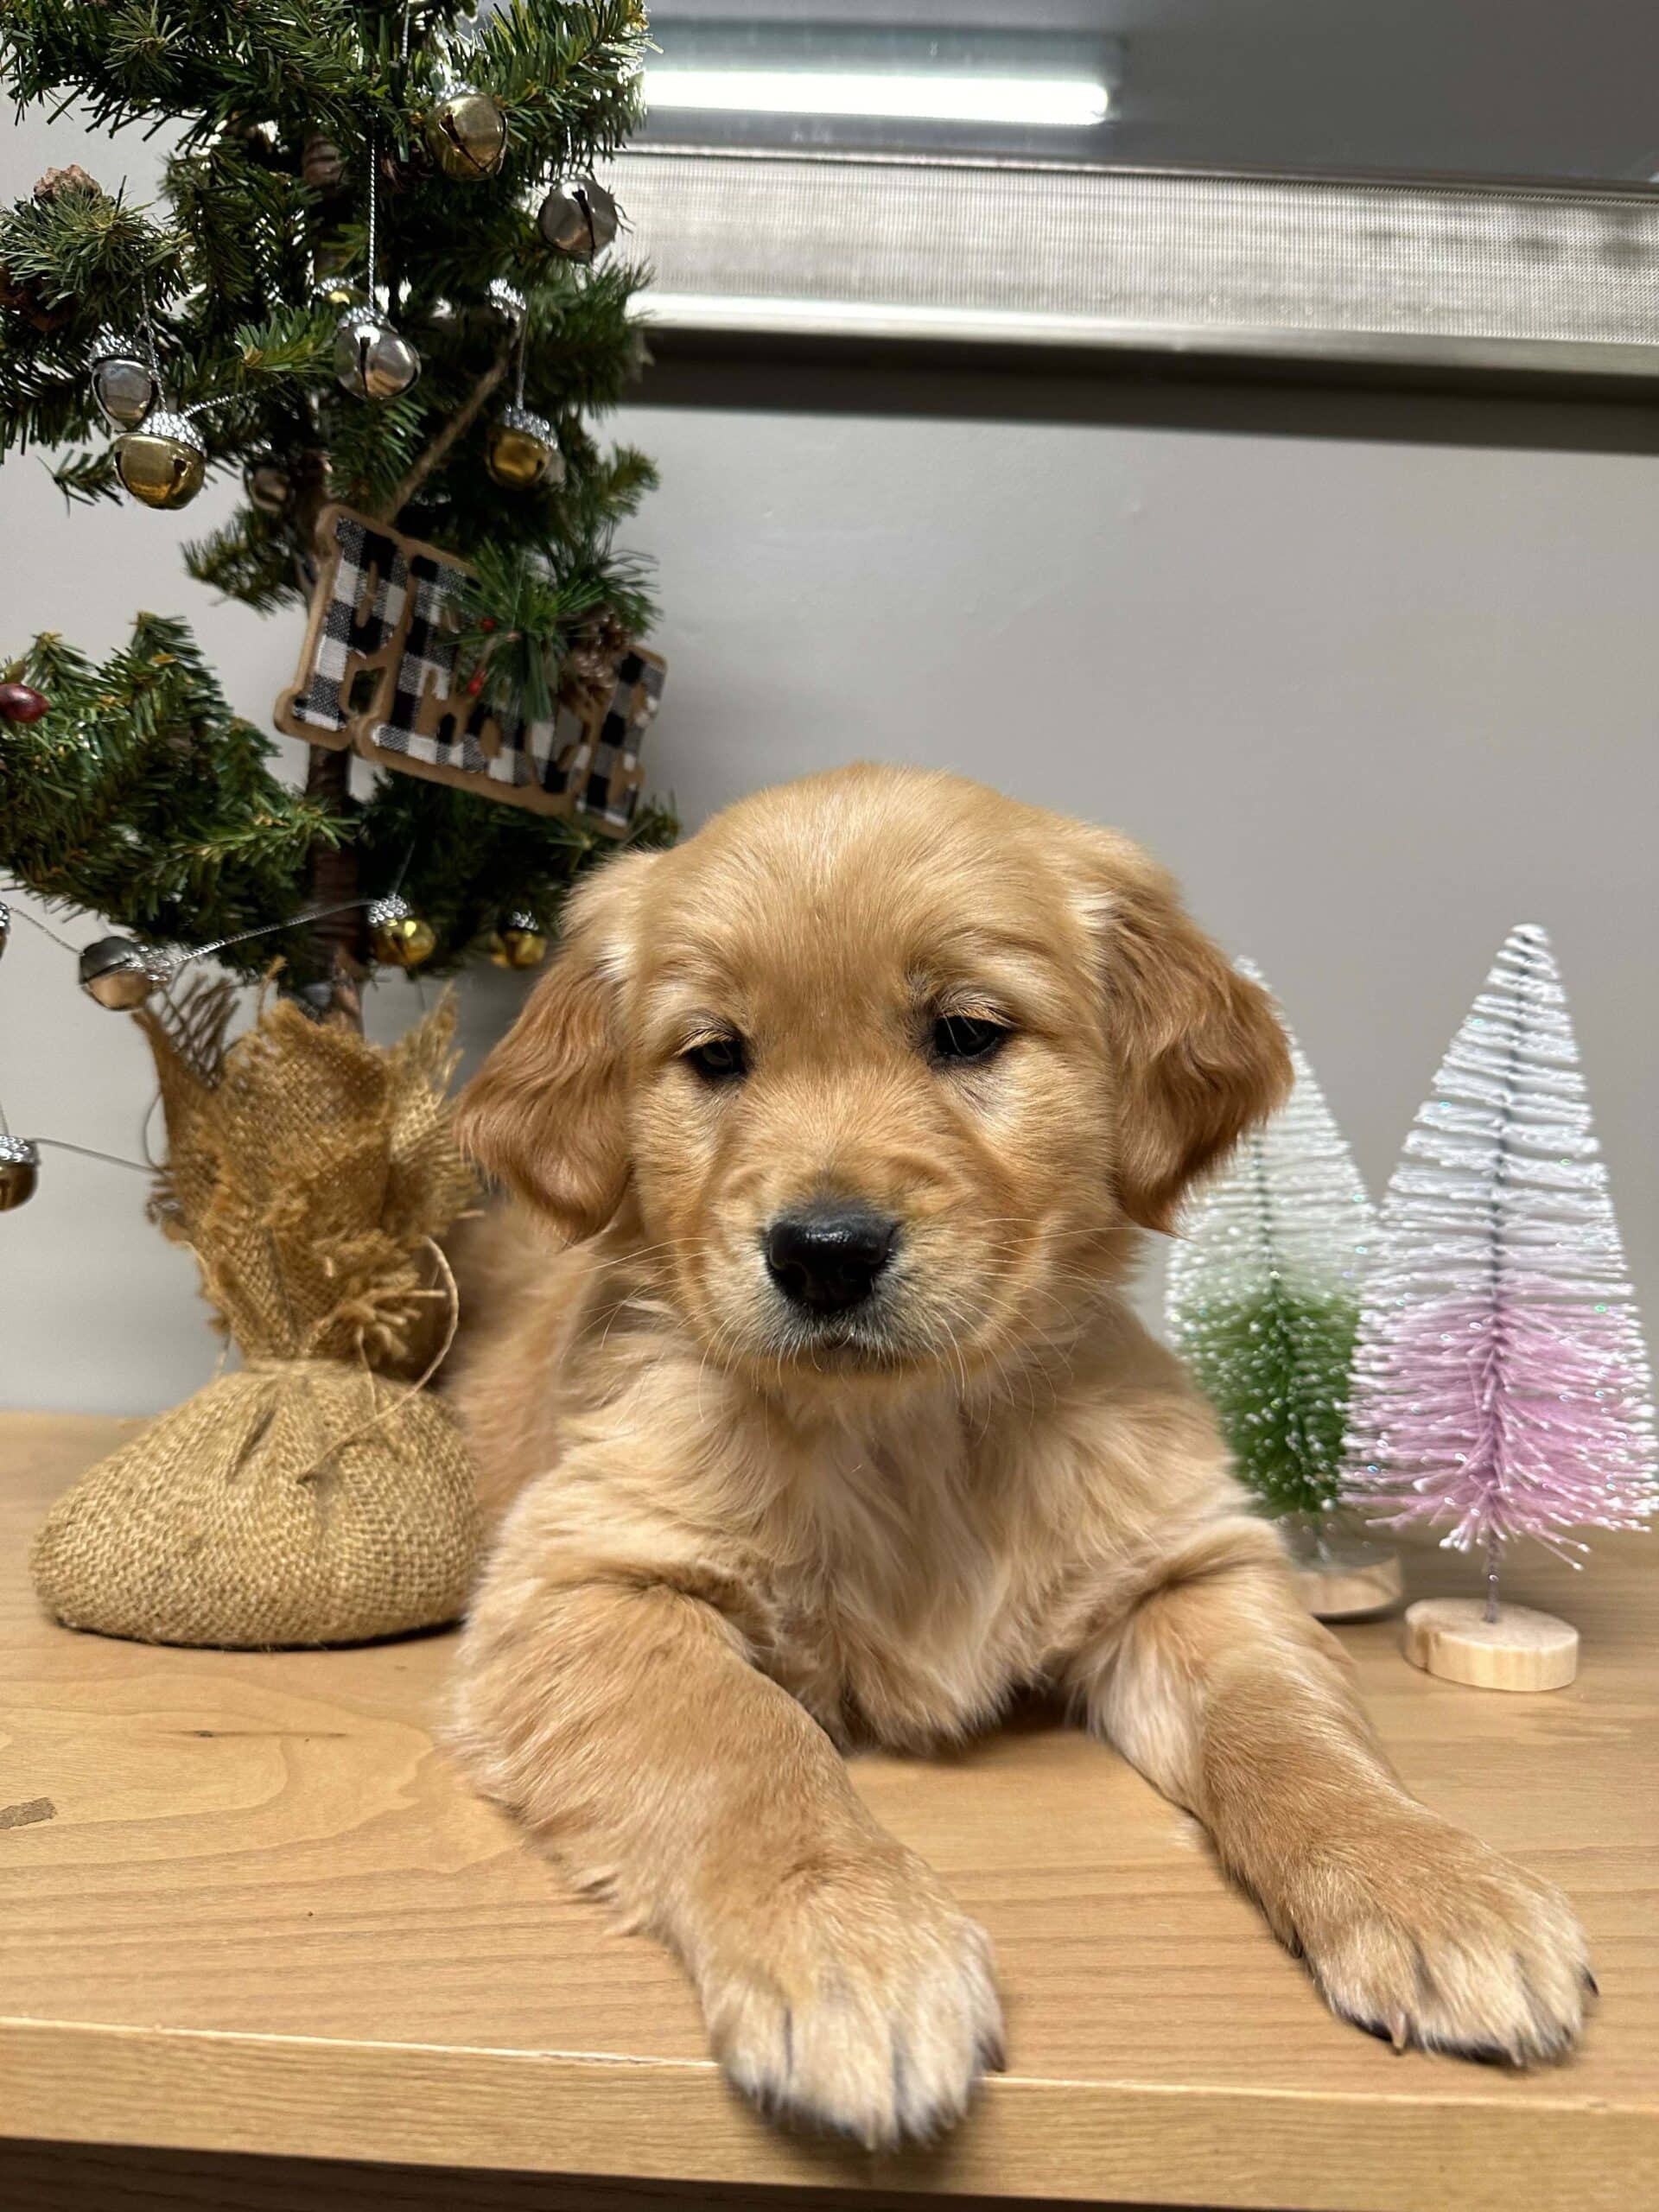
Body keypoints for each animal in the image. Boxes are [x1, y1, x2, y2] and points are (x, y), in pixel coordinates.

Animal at [448, 769, 1592, 2150]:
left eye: (966, 1032)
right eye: (715, 1055)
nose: (824, 1253)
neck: (912, 1435)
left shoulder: (1188, 1573)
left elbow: (1292, 1728)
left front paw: (1428, 1879)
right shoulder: (584, 1579)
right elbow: (746, 1740)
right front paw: (849, 1946)